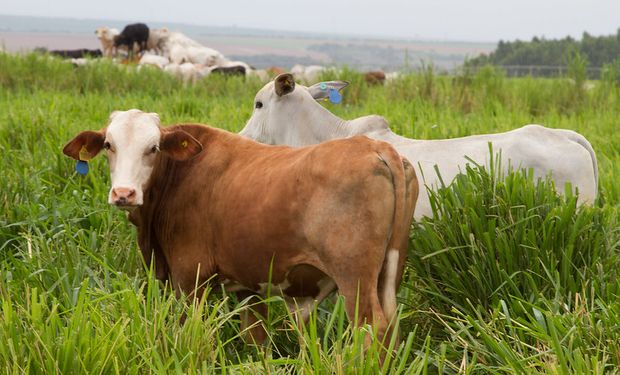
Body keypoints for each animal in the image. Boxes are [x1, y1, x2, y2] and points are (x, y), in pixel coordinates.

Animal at [63, 108, 418, 346]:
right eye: (109, 145)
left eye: (153, 148)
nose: (124, 194)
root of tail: (376, 148)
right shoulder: (250, 288)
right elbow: (256, 340)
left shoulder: (189, 279)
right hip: (388, 273)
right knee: (391, 328)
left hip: (354, 279)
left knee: (373, 327)